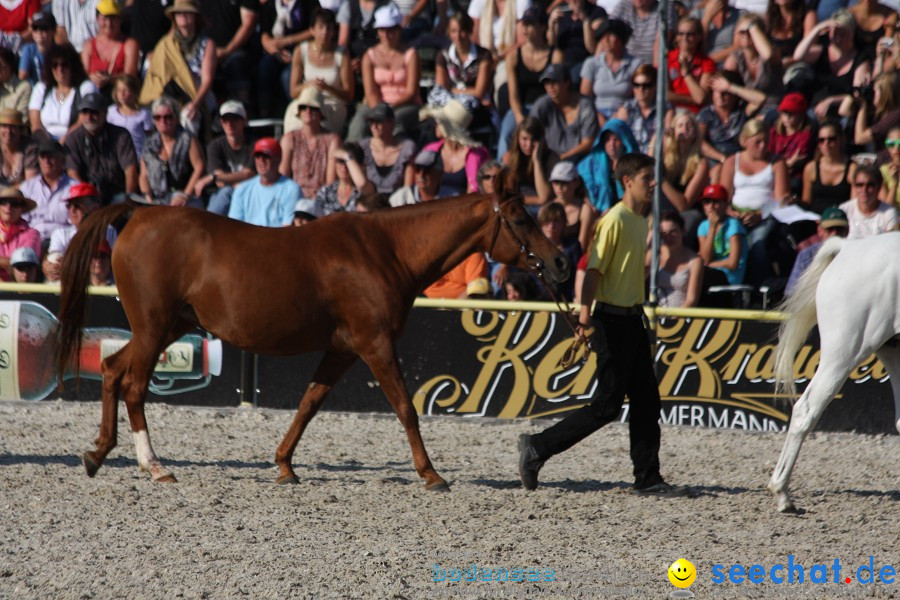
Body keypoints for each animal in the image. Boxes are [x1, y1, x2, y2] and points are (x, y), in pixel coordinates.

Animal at [56, 195, 568, 490]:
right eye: (521, 218)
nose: (561, 261)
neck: (384, 250)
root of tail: (140, 213)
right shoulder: (375, 344)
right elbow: (405, 407)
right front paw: (431, 474)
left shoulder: (342, 350)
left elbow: (308, 404)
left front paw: (284, 465)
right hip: (153, 328)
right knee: (133, 386)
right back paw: (154, 465)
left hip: (163, 329)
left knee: (111, 371)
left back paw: (98, 453)